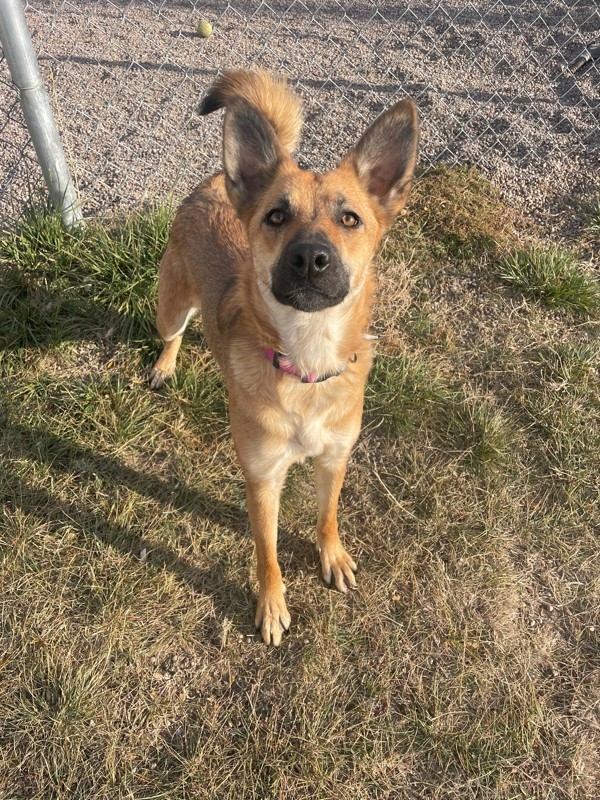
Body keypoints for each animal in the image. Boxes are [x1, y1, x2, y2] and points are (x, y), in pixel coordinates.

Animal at [151, 72, 418, 648]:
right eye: (276, 216)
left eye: (350, 218)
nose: (310, 258)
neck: (308, 364)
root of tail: (219, 179)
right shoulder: (262, 480)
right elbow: (267, 554)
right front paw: (271, 605)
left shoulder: (335, 458)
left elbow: (328, 515)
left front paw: (331, 556)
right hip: (171, 306)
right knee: (172, 333)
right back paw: (164, 365)